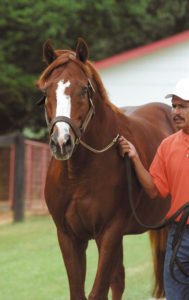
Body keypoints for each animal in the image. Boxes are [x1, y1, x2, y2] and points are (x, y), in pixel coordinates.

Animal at [37, 38, 177, 298]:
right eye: (45, 92)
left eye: (84, 89)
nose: (61, 142)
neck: (78, 175)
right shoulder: (69, 238)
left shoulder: (109, 233)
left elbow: (97, 292)